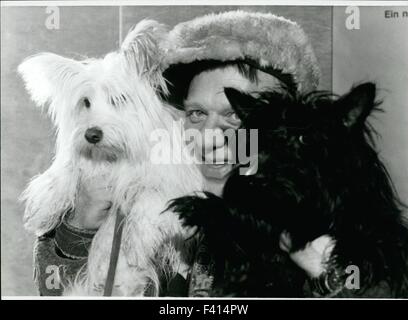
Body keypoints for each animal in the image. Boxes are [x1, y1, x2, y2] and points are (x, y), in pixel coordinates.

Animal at [19, 19, 204, 296]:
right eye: (85, 102)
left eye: (118, 99)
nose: (92, 134)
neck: (116, 156)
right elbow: (65, 170)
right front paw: (44, 208)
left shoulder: (176, 182)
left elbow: (151, 199)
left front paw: (137, 240)